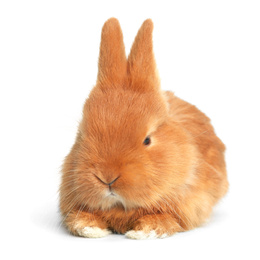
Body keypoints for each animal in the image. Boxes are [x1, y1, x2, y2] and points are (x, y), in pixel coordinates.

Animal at [60, 17, 229, 239]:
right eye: (82, 134)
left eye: (147, 140)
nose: (107, 178)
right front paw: (90, 228)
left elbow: (164, 219)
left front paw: (142, 232)